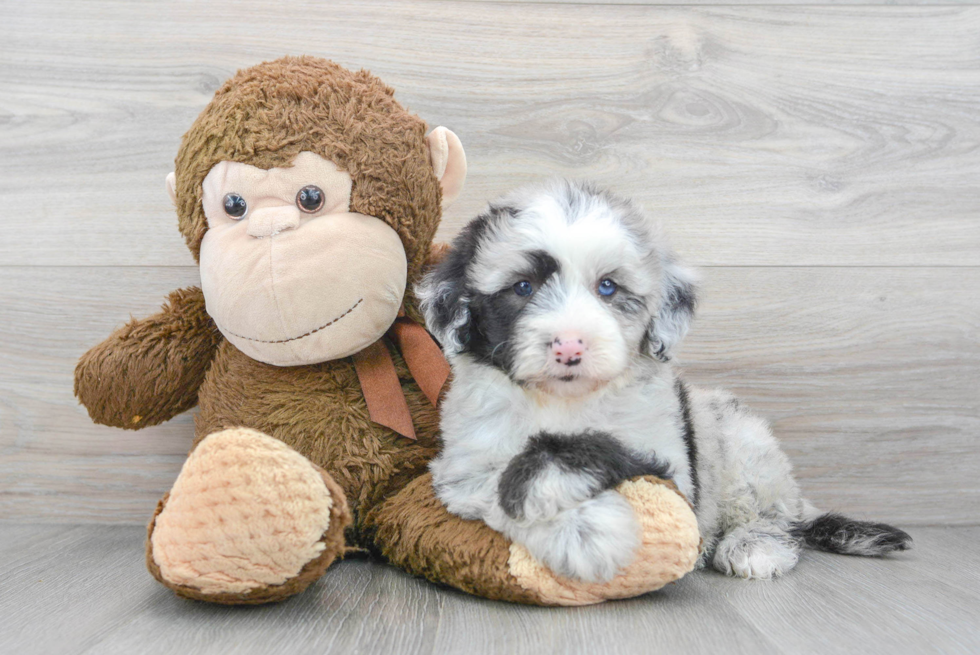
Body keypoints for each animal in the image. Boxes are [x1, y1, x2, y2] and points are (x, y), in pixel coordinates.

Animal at [418, 181, 916, 584]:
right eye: (523, 287)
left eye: (608, 287)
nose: (569, 347)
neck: (563, 401)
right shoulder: (461, 467)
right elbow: (494, 483)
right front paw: (586, 531)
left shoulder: (665, 460)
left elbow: (583, 448)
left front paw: (587, 529)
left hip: (745, 446)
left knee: (775, 516)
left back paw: (754, 545)